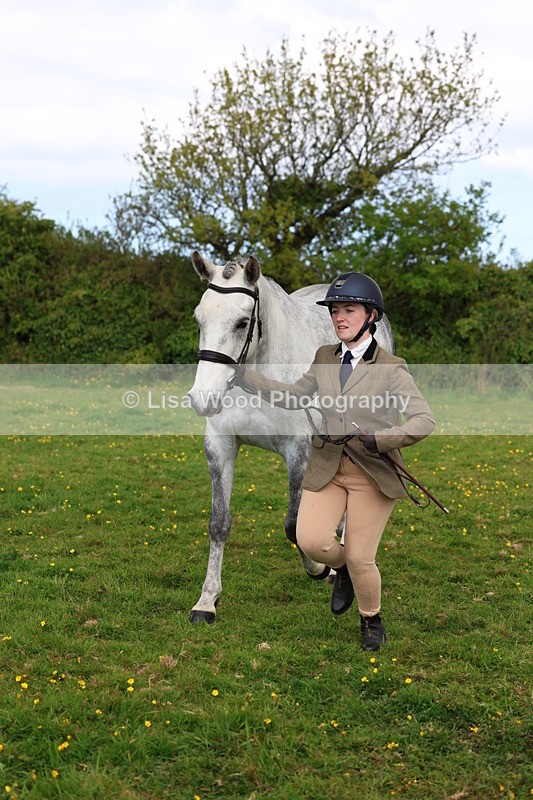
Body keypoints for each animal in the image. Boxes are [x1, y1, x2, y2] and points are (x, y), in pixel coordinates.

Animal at [187, 250, 395, 623]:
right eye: (199, 318)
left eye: (242, 322)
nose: (202, 397)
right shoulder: (220, 445)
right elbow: (219, 522)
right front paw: (207, 601)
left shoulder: (299, 449)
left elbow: (294, 524)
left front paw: (320, 568)